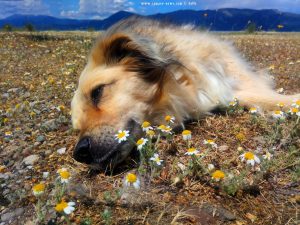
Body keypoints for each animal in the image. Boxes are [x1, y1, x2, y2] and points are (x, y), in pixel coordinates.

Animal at [71, 17, 300, 171]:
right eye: (77, 128)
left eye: (98, 92)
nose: (79, 153)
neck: (180, 83)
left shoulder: (227, 70)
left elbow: (273, 97)